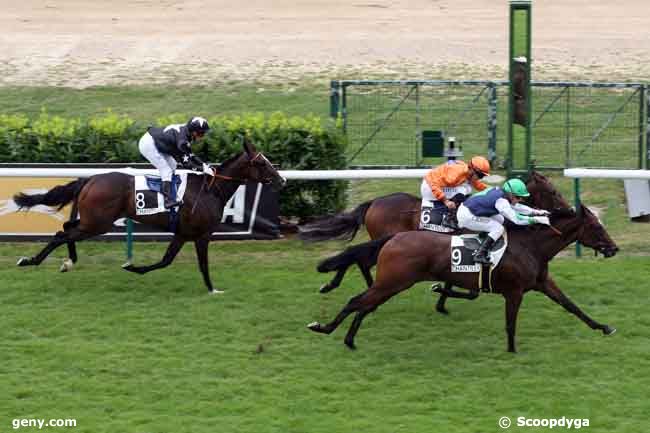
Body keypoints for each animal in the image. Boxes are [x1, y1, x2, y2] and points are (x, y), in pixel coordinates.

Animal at [12, 140, 284, 292]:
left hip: (91, 221)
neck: (211, 189)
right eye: (262, 163)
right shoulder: (202, 234)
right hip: (98, 223)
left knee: (68, 228)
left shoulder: (182, 233)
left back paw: (68, 262)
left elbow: (166, 261)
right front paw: (213, 289)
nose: (281, 180)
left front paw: (134, 267)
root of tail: (90, 179)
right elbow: (202, 264)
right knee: (62, 233)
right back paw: (30, 261)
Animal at [308, 202, 616, 352]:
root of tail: (396, 237)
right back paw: (323, 327)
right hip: (393, 281)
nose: (614, 248)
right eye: (597, 228)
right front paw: (512, 350)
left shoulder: (542, 284)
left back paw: (349, 340)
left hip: (392, 284)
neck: (531, 246)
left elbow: (572, 306)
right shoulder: (514, 292)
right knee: (357, 301)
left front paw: (603, 327)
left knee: (365, 304)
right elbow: (510, 323)